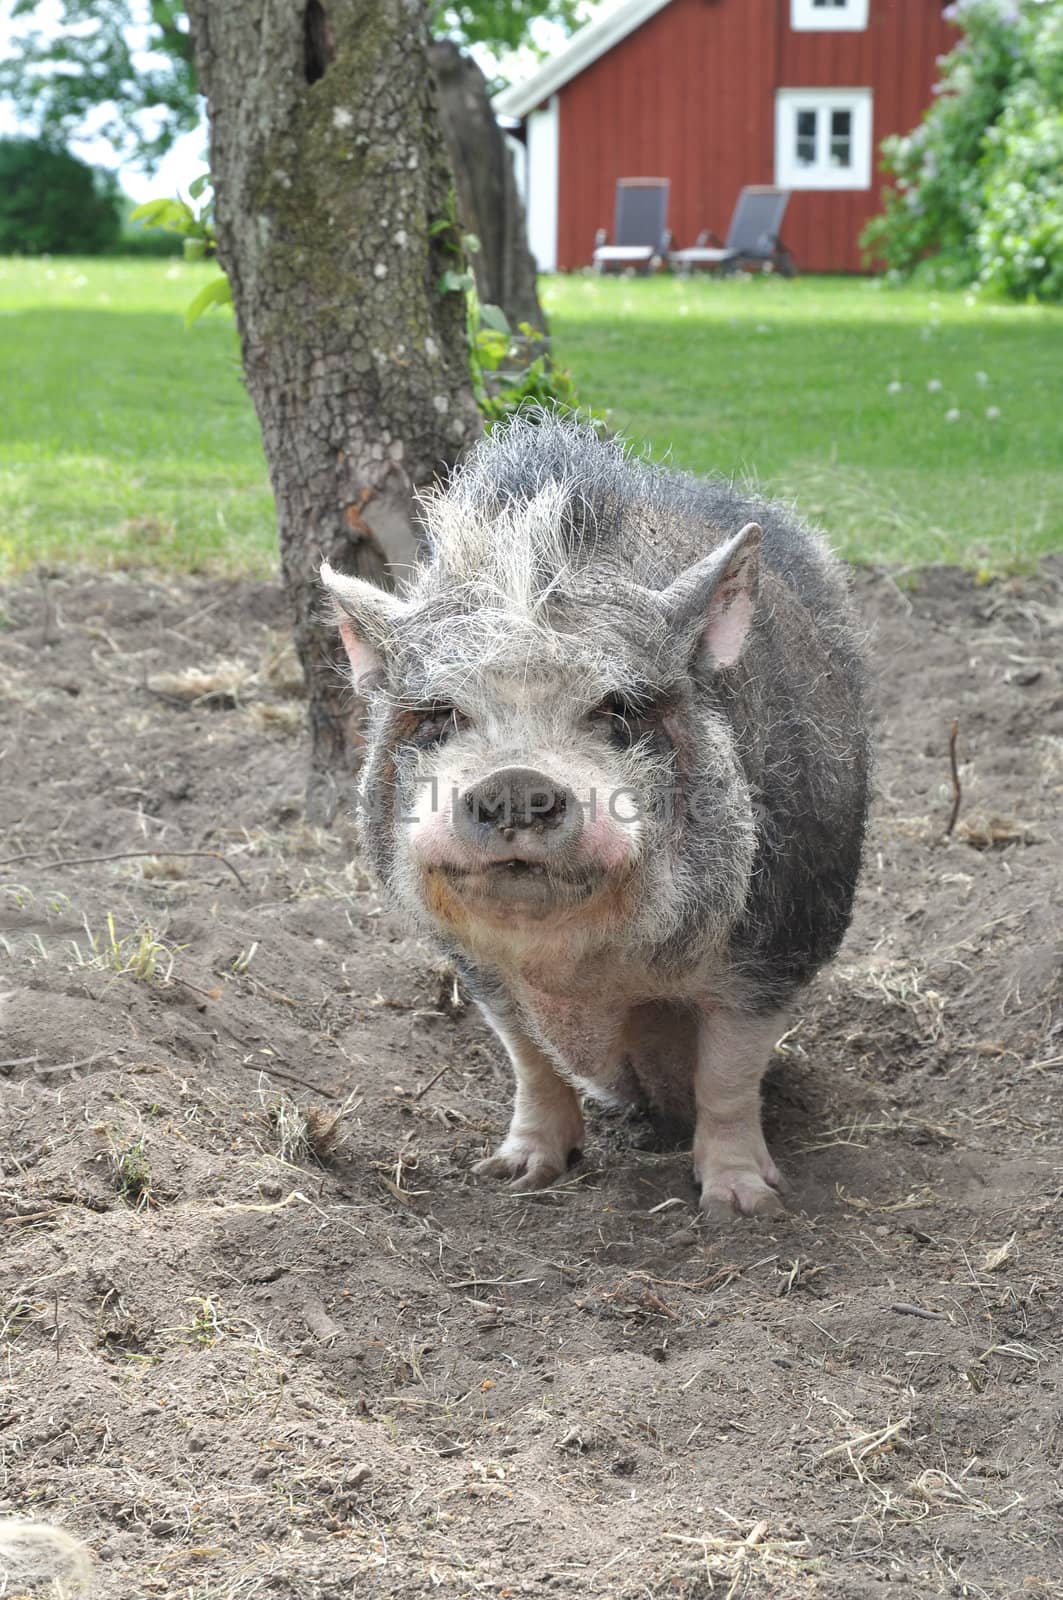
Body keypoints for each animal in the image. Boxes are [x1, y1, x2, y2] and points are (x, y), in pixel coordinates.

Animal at [320, 409, 870, 1209]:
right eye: (444, 715)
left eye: (615, 710)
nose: (515, 778)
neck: (580, 976)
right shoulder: (478, 969)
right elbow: (529, 1060)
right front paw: (513, 1176)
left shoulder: (778, 942)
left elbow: (728, 1073)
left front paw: (741, 1205)